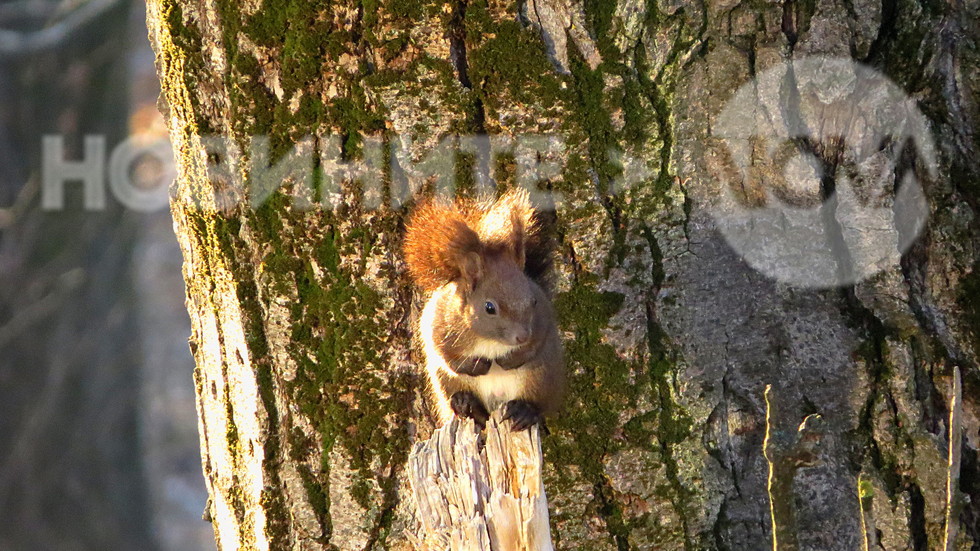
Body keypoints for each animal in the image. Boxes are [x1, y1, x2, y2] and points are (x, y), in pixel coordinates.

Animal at [400, 190, 568, 432]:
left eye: (534, 301)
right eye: (489, 307)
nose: (521, 337)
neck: (491, 340)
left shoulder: (543, 317)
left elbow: (538, 339)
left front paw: (512, 359)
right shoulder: (438, 321)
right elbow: (444, 354)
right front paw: (476, 365)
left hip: (543, 378)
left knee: (538, 405)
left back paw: (524, 411)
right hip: (446, 384)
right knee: (470, 408)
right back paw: (466, 404)